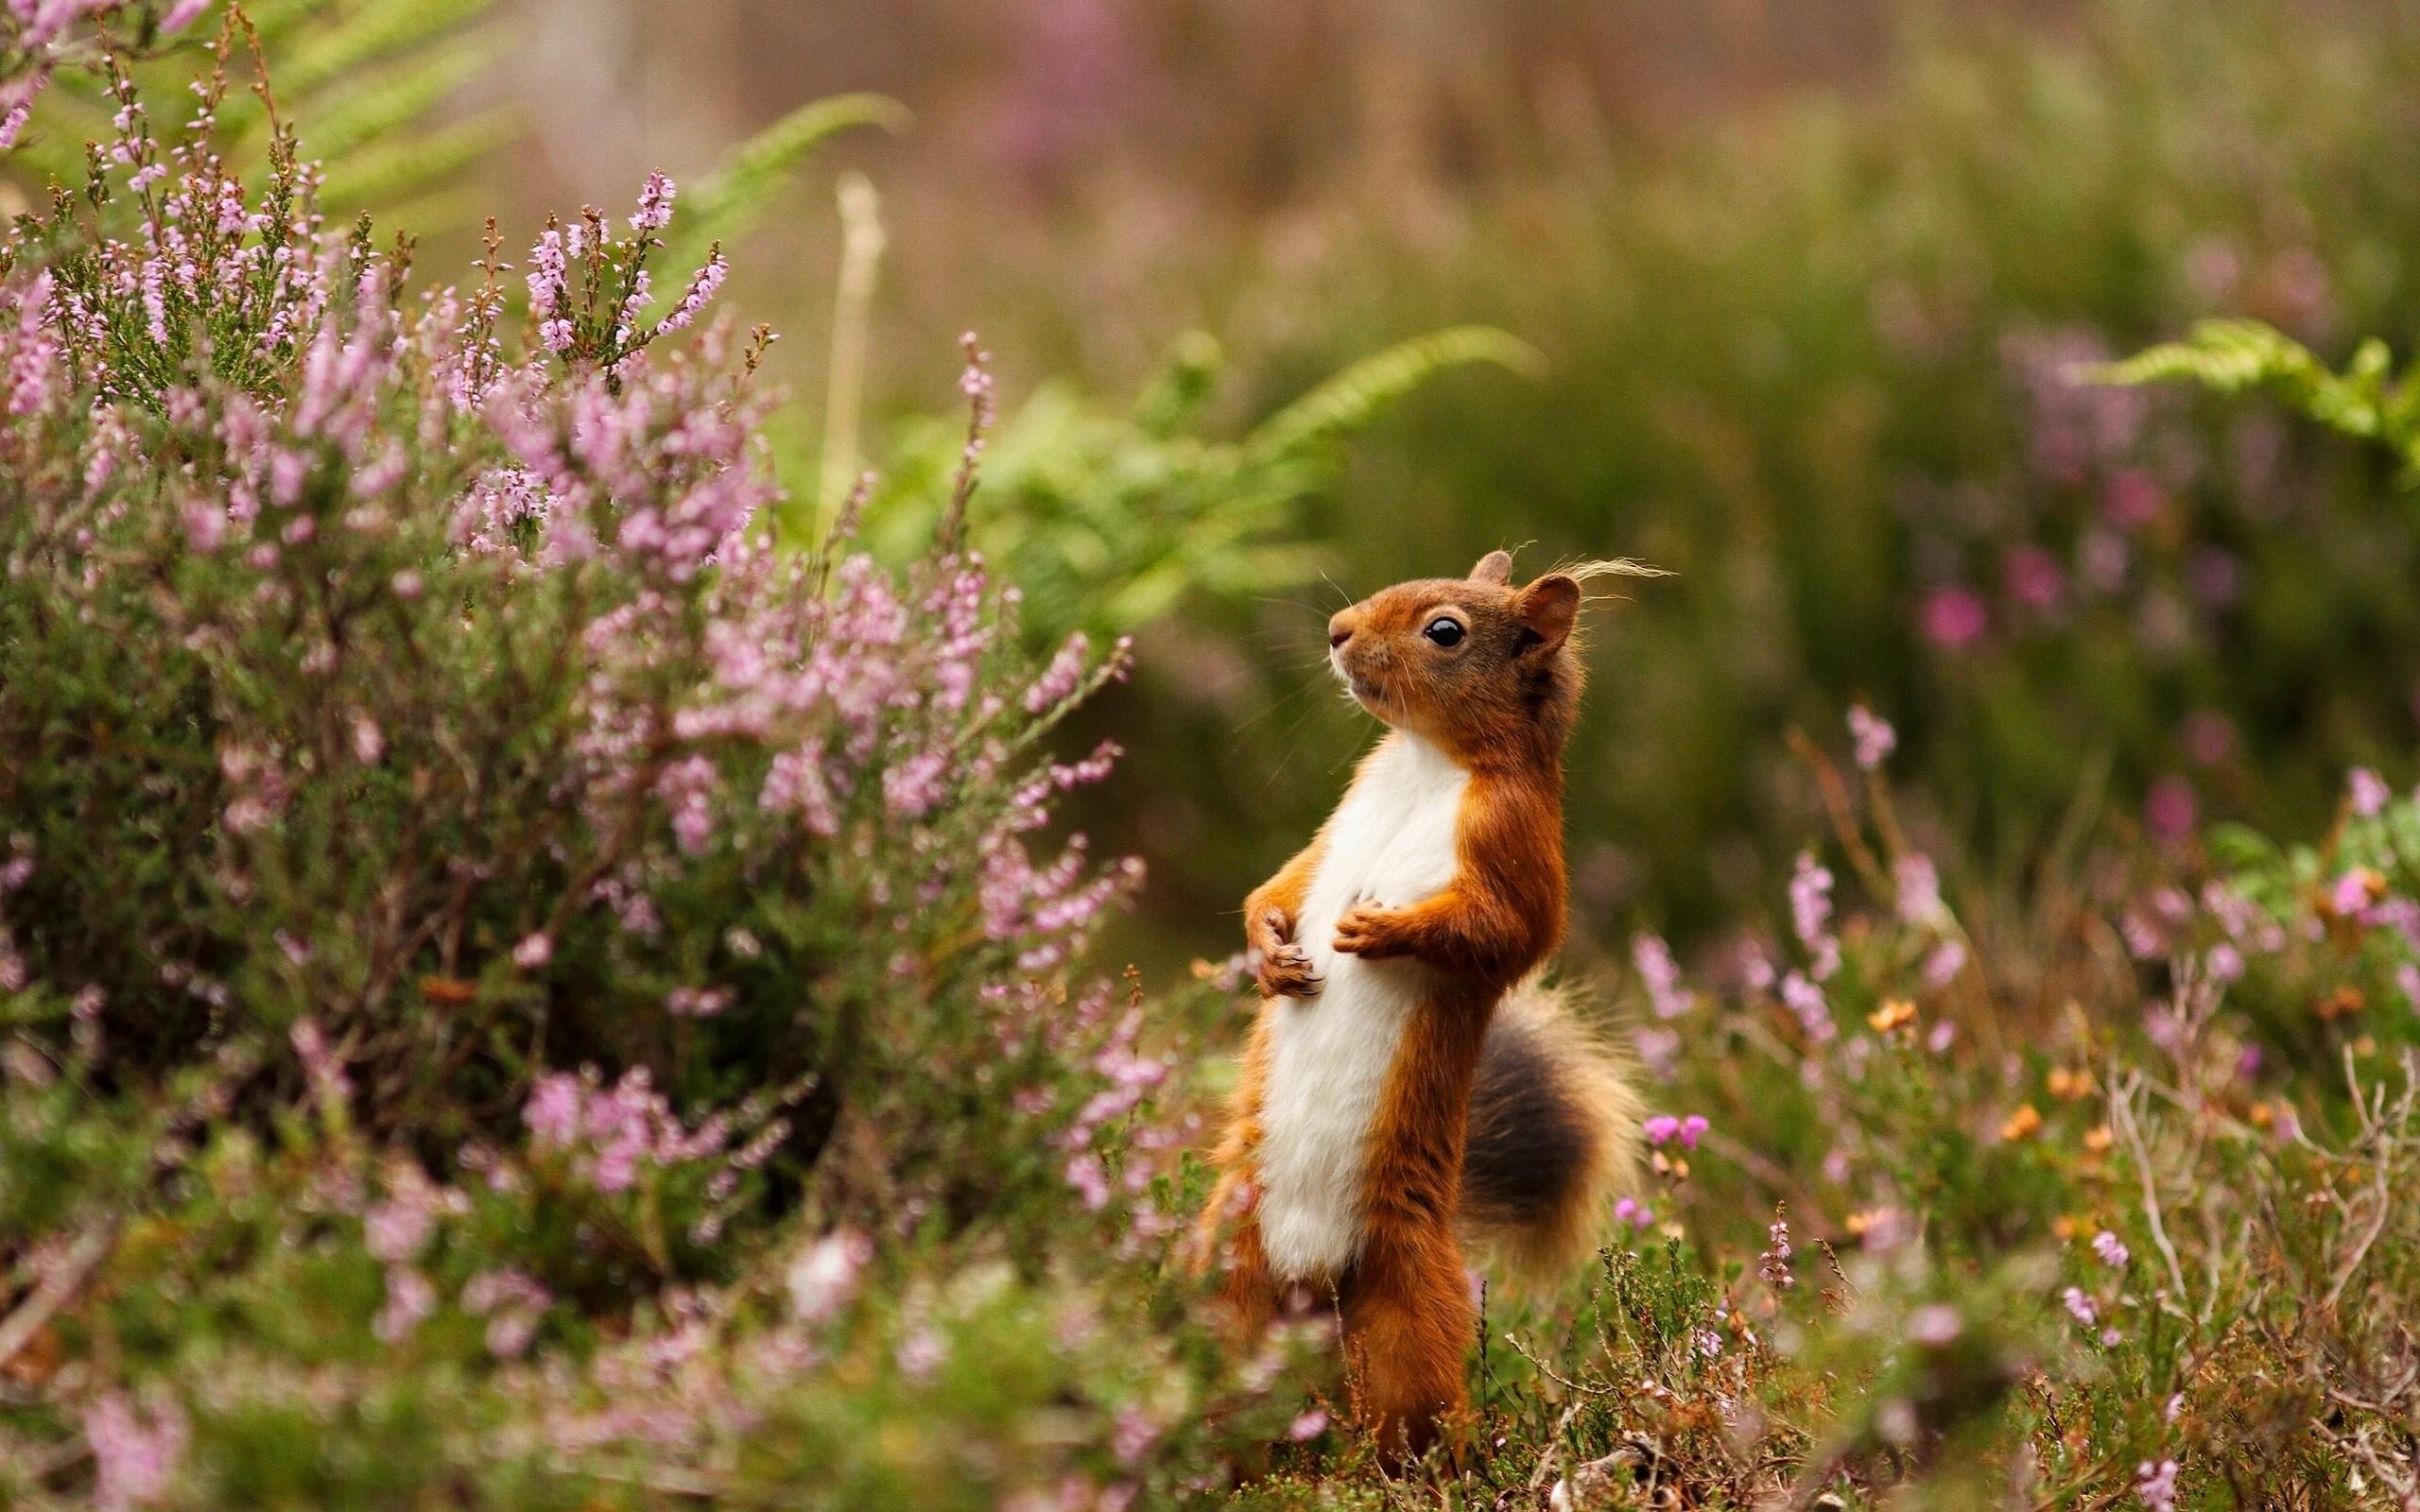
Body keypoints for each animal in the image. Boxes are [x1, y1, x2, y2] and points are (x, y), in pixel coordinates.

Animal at [1198, 549, 1648, 1459]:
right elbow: (1283, 883)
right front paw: (1270, 954)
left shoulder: (1519, 850)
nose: (1337, 631)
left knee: (1419, 1412)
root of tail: (1309, 1291)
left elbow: (1500, 931)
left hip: (1411, 1308)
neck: (1422, 765)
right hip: (1218, 1266)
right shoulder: (1337, 824)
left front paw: (1384, 928)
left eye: (1446, 631)